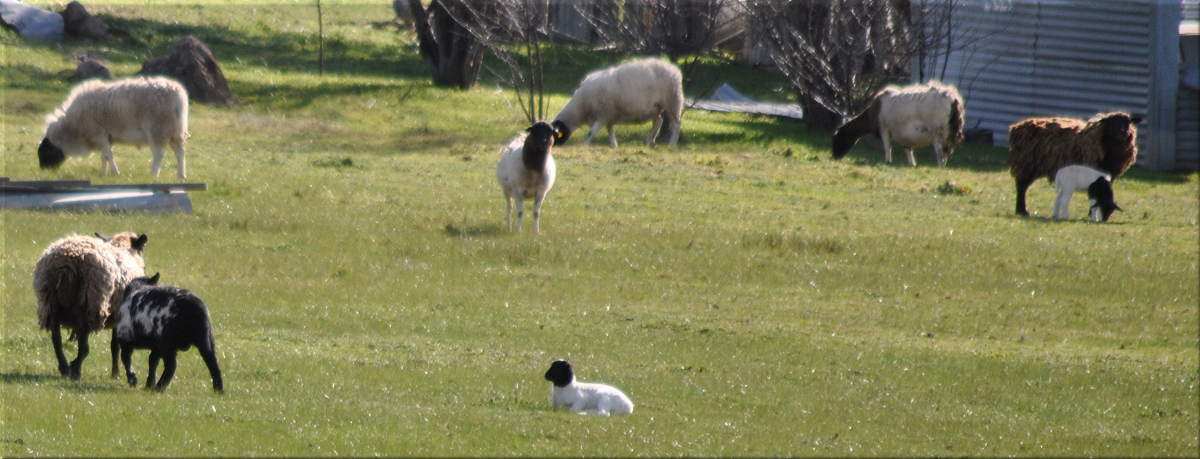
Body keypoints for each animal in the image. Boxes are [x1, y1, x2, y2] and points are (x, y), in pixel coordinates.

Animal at [32, 232, 148, 379]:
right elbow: (115, 345)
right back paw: (75, 370)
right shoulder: (118, 312)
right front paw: (115, 373)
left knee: (56, 340)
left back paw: (64, 368)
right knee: (83, 347)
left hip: (50, 303)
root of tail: (67, 259)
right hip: (90, 303)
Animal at [38, 76, 190, 179]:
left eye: (45, 152)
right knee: (180, 152)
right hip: (175, 130)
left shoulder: (98, 133)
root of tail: (177, 94)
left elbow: (108, 155)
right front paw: (102, 173)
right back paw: (181, 175)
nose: (43, 171)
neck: (72, 127)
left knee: (159, 154)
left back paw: (153, 174)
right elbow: (103, 156)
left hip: (158, 129)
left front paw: (115, 173)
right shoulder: (105, 137)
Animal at [553, 57, 683, 148]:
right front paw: (614, 145)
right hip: (656, 107)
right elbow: (610, 130)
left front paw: (585, 144)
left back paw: (671, 144)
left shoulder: (603, 114)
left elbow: (592, 132)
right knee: (658, 121)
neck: (582, 105)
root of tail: (674, 70)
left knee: (676, 124)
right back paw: (649, 140)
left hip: (672, 101)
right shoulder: (608, 115)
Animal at [832, 81, 964, 167]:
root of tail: (953, 100)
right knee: (946, 152)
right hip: (950, 134)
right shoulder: (905, 136)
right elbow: (908, 150)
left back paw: (940, 167)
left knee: (940, 152)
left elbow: (887, 147)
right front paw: (912, 165)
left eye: (838, 138)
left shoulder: (884, 129)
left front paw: (888, 162)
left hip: (938, 132)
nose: (834, 157)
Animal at [1008, 112, 1140, 216]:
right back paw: (1022, 210)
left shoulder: (1110, 174)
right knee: (1022, 187)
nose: (1123, 133)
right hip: (1027, 164)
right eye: (1111, 122)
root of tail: (1016, 127)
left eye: (1128, 122)